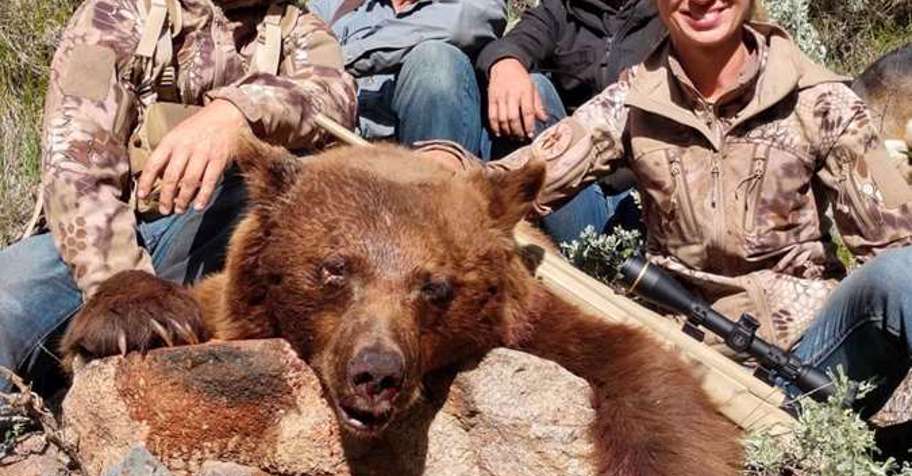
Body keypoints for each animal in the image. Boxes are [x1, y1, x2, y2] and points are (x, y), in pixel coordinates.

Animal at [60, 141, 743, 475]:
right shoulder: (236, 304)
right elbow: (189, 305)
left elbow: (651, 382)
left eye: (436, 285)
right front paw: (137, 320)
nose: (376, 373)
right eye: (334, 267)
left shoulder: (535, 325)